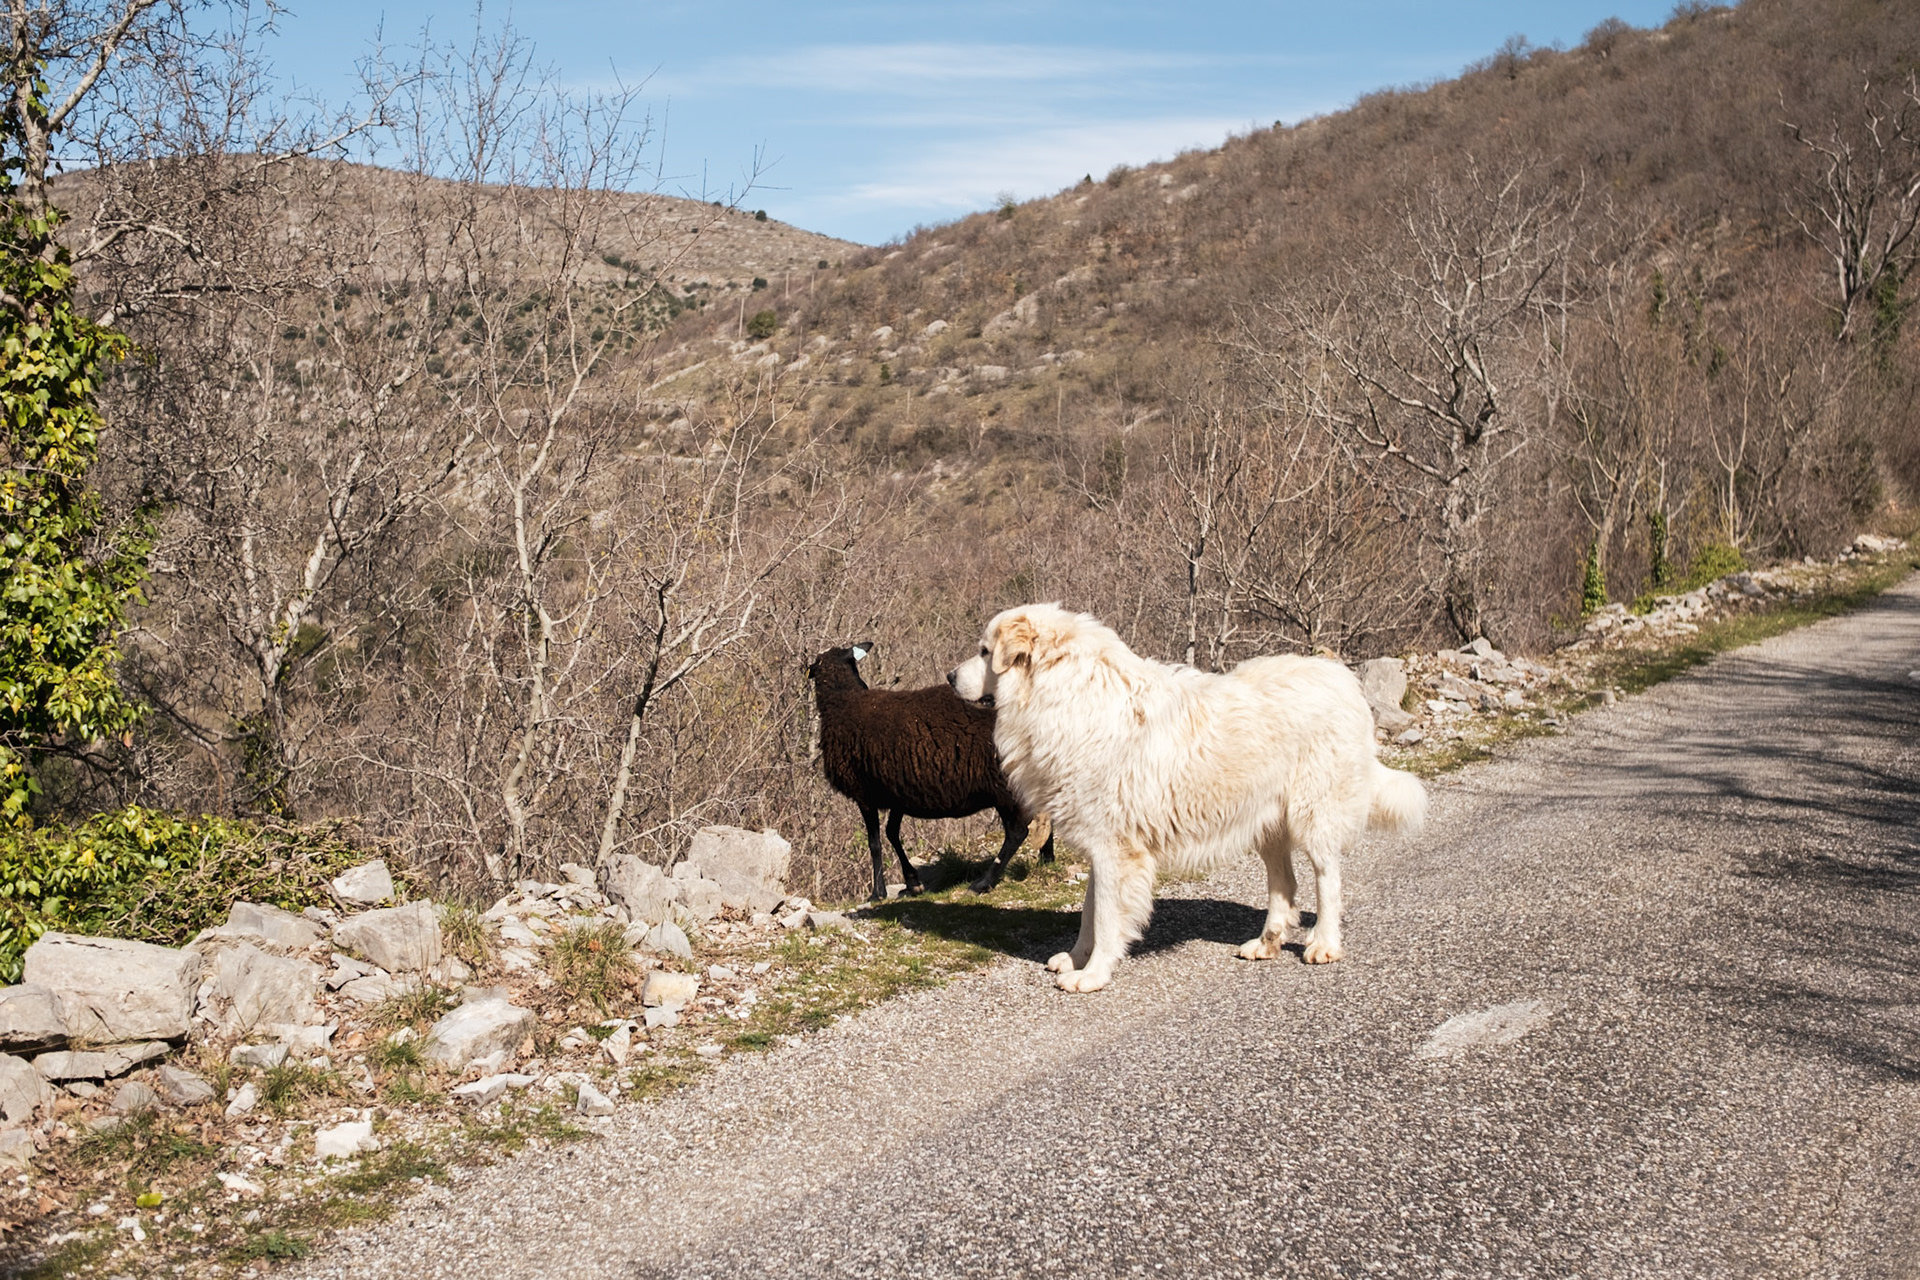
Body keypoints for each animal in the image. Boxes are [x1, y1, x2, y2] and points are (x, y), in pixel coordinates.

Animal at [809, 641, 1054, 901]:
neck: (844, 702)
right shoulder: (899, 792)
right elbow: (892, 833)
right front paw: (912, 882)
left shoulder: (863, 793)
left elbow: (874, 843)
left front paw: (878, 893)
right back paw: (1047, 860)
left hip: (1003, 785)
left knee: (1016, 832)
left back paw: (983, 882)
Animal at [948, 603, 1426, 992]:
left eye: (985, 652)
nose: (950, 677)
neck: (1067, 696)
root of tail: (1341, 678)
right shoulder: (1102, 846)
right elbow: (1089, 911)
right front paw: (1077, 959)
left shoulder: (1115, 849)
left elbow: (1105, 916)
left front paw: (1093, 975)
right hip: (1267, 823)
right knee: (1283, 885)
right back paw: (1266, 942)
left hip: (1313, 815)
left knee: (1327, 879)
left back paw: (1323, 944)